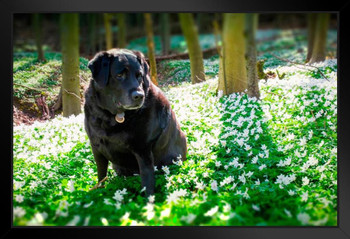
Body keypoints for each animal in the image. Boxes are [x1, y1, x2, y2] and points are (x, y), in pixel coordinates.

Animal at [84, 48, 187, 196]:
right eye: (119, 75)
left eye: (139, 75)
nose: (139, 96)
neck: (113, 116)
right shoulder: (96, 147)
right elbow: (101, 175)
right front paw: (98, 192)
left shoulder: (143, 150)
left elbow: (147, 181)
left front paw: (148, 201)